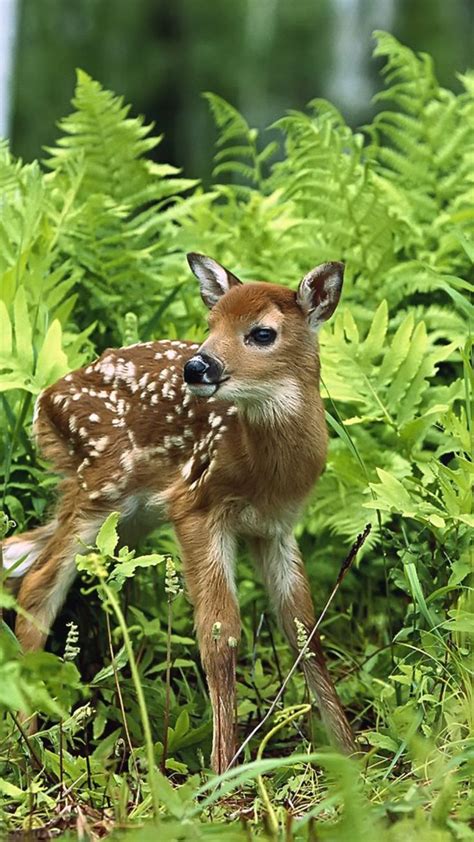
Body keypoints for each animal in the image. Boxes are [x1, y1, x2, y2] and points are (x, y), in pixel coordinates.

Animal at [0, 254, 356, 768]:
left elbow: (305, 630)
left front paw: (353, 754)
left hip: (125, 514)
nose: (198, 366)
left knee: (17, 556)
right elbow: (219, 635)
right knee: (38, 584)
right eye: (211, 324)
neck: (261, 471)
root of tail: (43, 402)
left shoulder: (276, 527)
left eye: (262, 333)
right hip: (100, 486)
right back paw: (30, 745)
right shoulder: (195, 506)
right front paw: (224, 768)